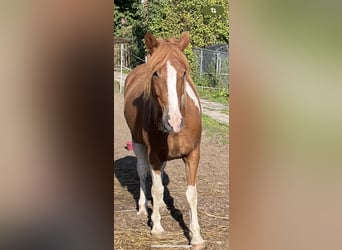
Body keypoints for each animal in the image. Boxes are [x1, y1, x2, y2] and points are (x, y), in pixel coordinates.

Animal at [123, 32, 204, 249]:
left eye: (184, 73)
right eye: (155, 74)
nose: (174, 121)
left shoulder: (193, 155)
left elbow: (191, 194)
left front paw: (196, 237)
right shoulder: (154, 156)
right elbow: (157, 188)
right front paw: (157, 227)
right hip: (137, 143)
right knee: (143, 173)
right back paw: (143, 208)